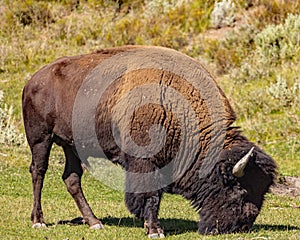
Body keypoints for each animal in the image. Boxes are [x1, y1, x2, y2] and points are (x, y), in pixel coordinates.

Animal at [21, 45, 276, 238]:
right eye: (240, 191)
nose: (242, 226)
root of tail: (33, 80)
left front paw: (148, 225)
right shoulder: (145, 162)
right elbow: (151, 195)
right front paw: (155, 230)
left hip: (71, 145)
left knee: (72, 178)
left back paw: (94, 222)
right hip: (41, 139)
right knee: (38, 172)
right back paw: (39, 221)